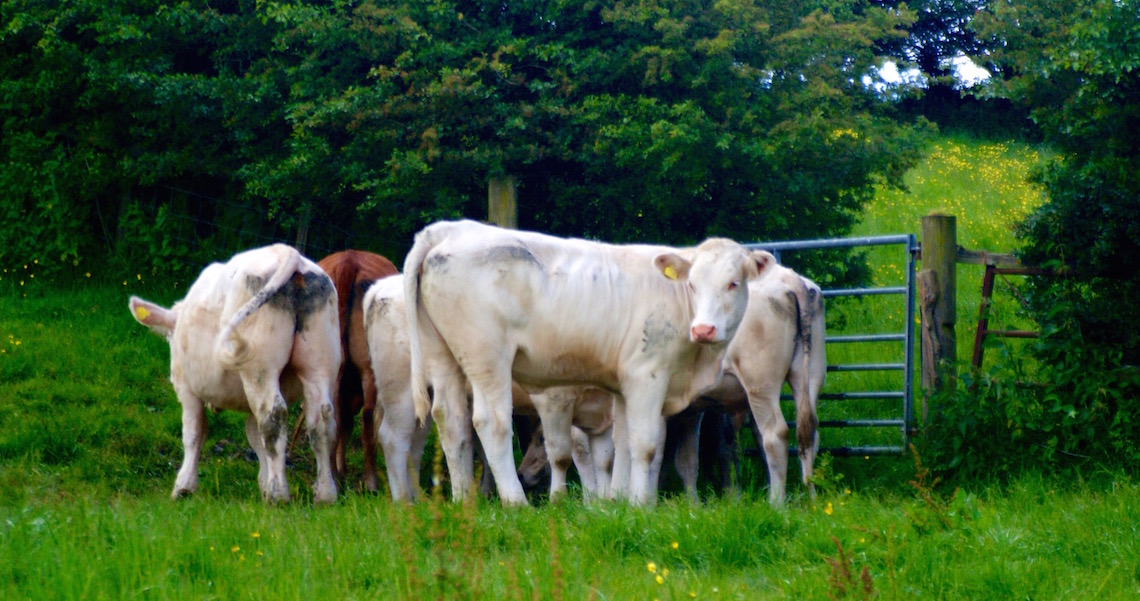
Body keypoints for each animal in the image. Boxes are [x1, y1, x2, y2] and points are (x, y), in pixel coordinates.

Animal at [129, 242, 339, 504]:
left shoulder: (186, 388)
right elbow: (255, 437)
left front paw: (184, 486)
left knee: (274, 416)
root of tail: (287, 252)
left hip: (260, 368)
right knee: (321, 420)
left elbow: (194, 432)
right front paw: (263, 483)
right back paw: (325, 494)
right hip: (319, 364)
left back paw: (278, 494)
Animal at [316, 249, 401, 494]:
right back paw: (371, 482)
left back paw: (334, 480)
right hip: (369, 369)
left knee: (334, 415)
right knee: (368, 418)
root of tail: (349, 260)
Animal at [405, 218, 770, 506]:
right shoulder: (647, 375)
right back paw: (516, 503)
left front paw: (619, 501)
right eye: (692, 284)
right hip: (487, 357)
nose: (703, 329)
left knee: (451, 422)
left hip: (443, 357)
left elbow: (622, 444)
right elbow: (645, 445)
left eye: (733, 283)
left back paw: (462, 500)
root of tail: (451, 229)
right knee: (490, 423)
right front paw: (640, 504)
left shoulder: (623, 387)